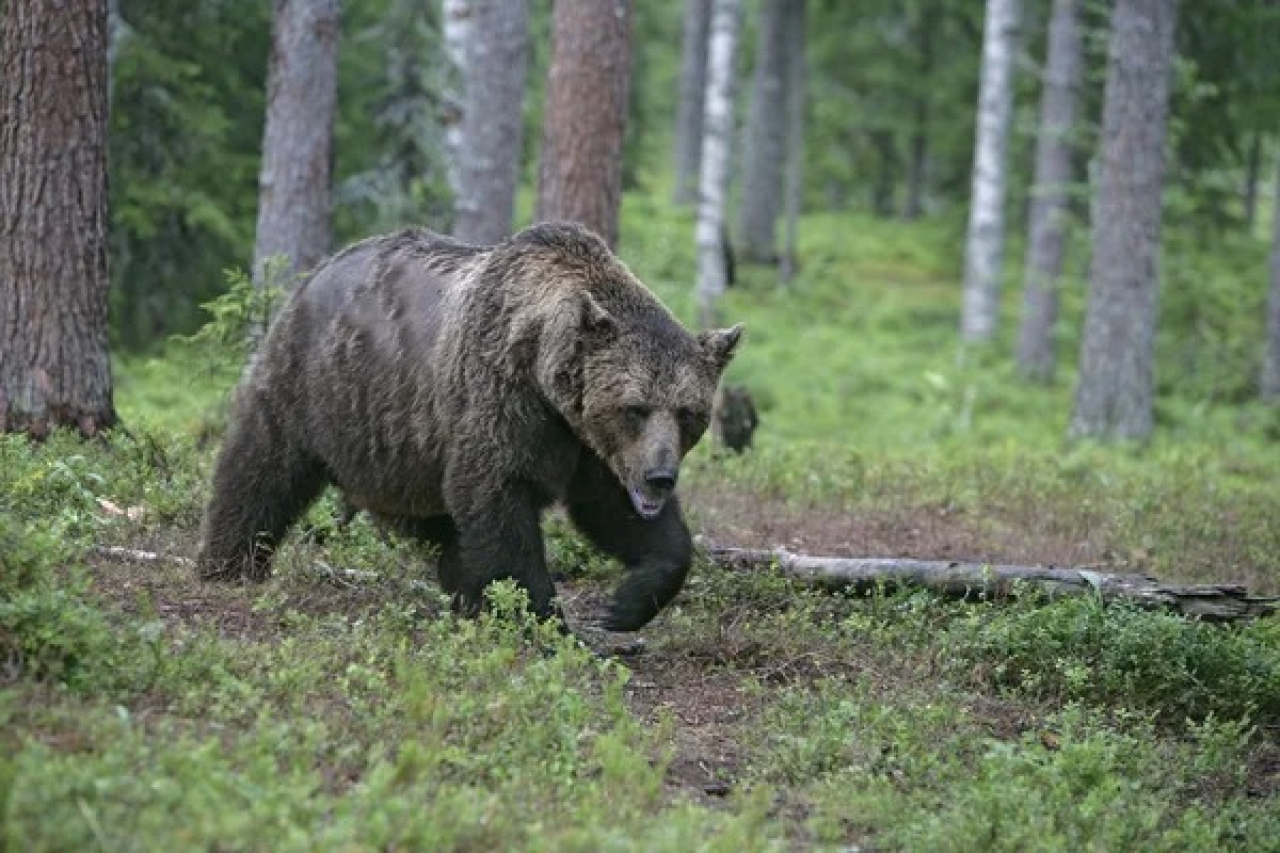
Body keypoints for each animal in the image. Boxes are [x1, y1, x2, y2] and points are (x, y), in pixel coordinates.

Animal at [198, 222, 741, 631]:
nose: (659, 478)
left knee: (438, 520)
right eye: (636, 407)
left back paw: (460, 589)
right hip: (314, 385)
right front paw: (543, 620)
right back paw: (229, 562)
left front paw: (623, 605)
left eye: (688, 412)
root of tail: (317, 269)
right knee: (262, 465)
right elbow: (498, 502)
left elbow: (618, 513)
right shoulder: (503, 401)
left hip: (406, 448)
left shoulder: (586, 444)